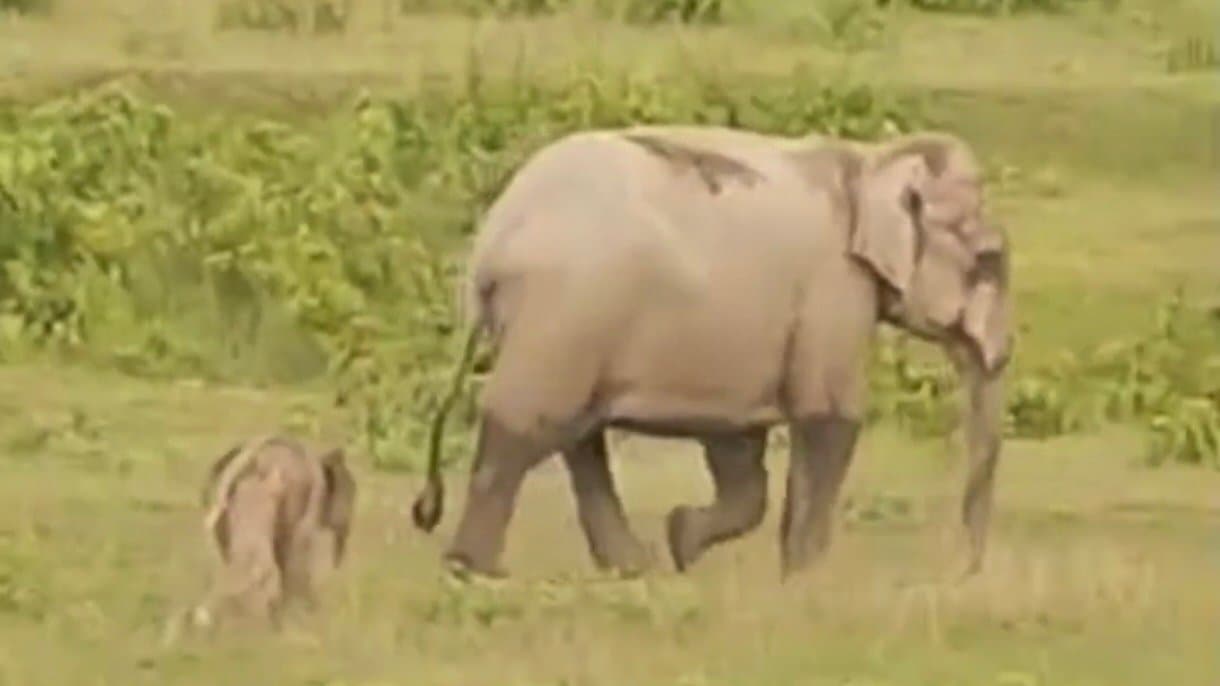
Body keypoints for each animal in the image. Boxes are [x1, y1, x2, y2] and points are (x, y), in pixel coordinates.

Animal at [410, 124, 1013, 582]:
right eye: (987, 261)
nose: (965, 571)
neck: (868, 160)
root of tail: (492, 243)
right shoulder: (834, 290)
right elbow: (829, 418)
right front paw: (805, 581)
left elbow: (738, 451)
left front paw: (684, 540)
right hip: (563, 315)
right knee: (527, 427)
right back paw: (475, 570)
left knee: (577, 435)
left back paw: (634, 566)